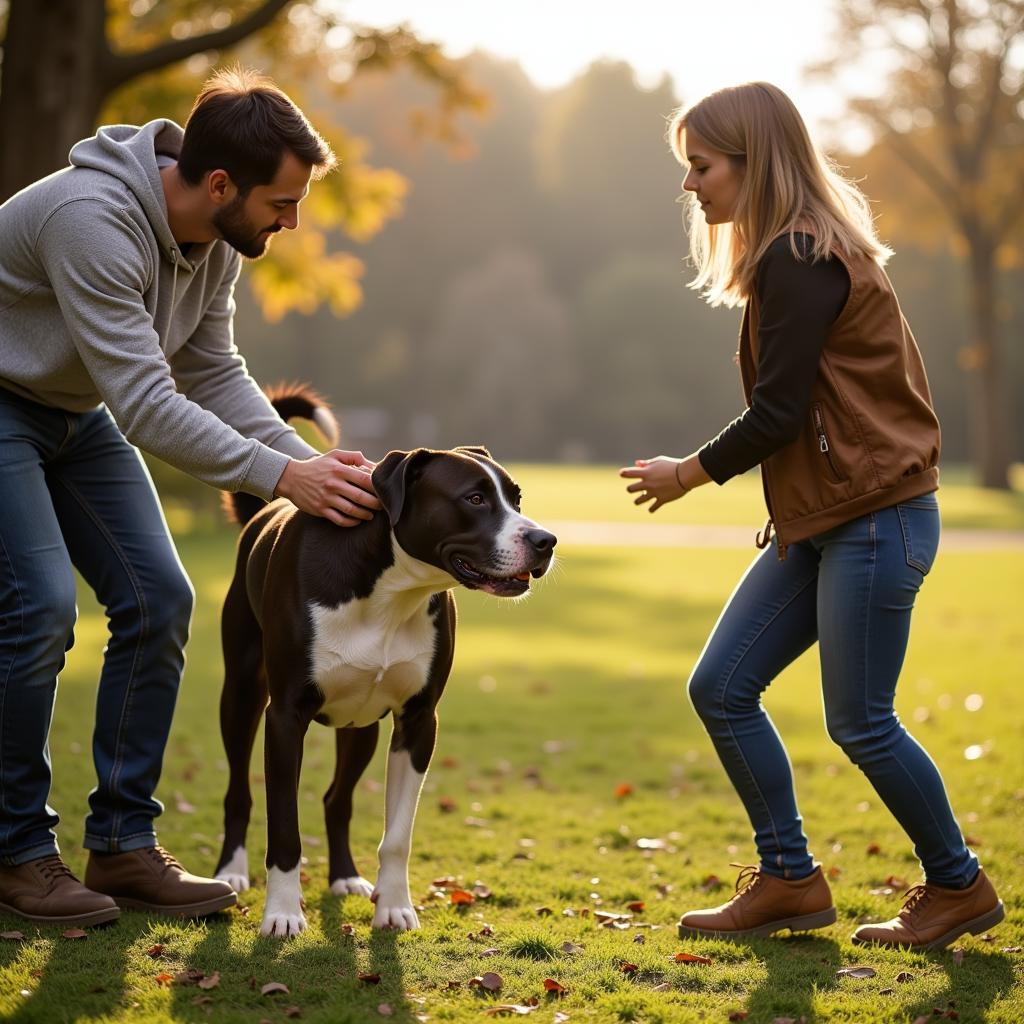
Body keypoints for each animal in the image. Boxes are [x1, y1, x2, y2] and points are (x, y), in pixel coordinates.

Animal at [210, 385, 557, 937]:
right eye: (474, 499)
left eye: (516, 498)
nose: (545, 541)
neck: (392, 590)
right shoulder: (284, 717)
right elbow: (284, 827)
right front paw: (282, 913)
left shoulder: (418, 720)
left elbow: (397, 834)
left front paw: (394, 906)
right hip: (241, 694)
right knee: (239, 790)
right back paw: (230, 872)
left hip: (360, 725)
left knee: (337, 799)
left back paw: (345, 877)